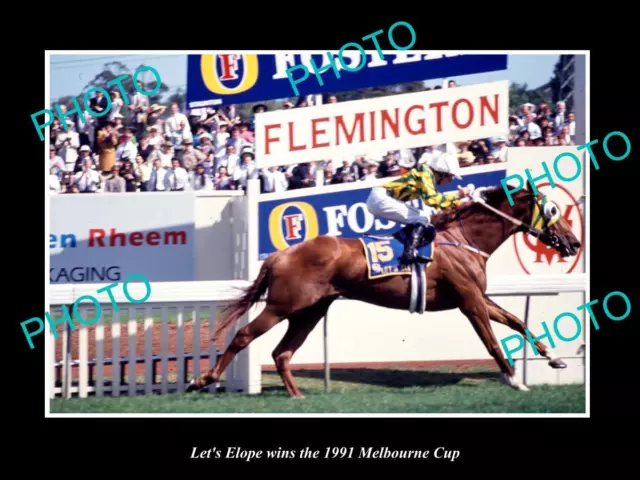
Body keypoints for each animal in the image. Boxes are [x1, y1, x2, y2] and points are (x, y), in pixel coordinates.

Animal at [188, 181, 584, 398]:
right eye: (552, 210)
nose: (574, 243)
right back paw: (202, 379)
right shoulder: (469, 301)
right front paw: (515, 381)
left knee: (282, 353)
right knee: (244, 337)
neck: (464, 238)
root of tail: (279, 254)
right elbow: (491, 341)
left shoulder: (476, 297)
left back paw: (297, 395)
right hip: (283, 306)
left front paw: (554, 358)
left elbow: (517, 320)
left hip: (310, 310)